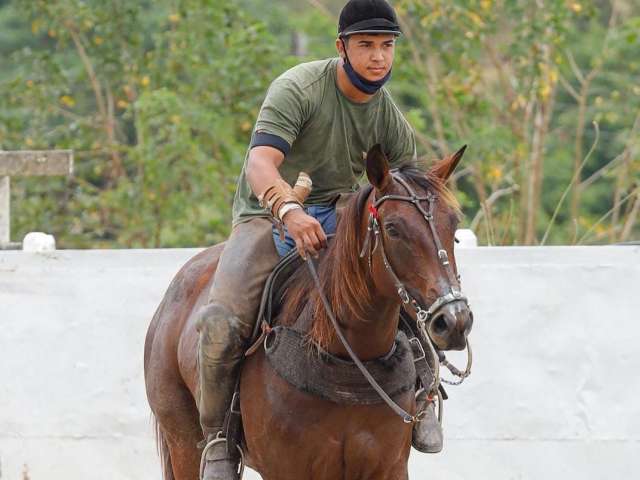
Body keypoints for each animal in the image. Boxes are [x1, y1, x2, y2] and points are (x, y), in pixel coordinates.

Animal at [146, 146, 476, 480]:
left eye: (453, 223)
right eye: (393, 228)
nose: (454, 320)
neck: (347, 359)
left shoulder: (389, 466)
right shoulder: (286, 468)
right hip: (182, 439)